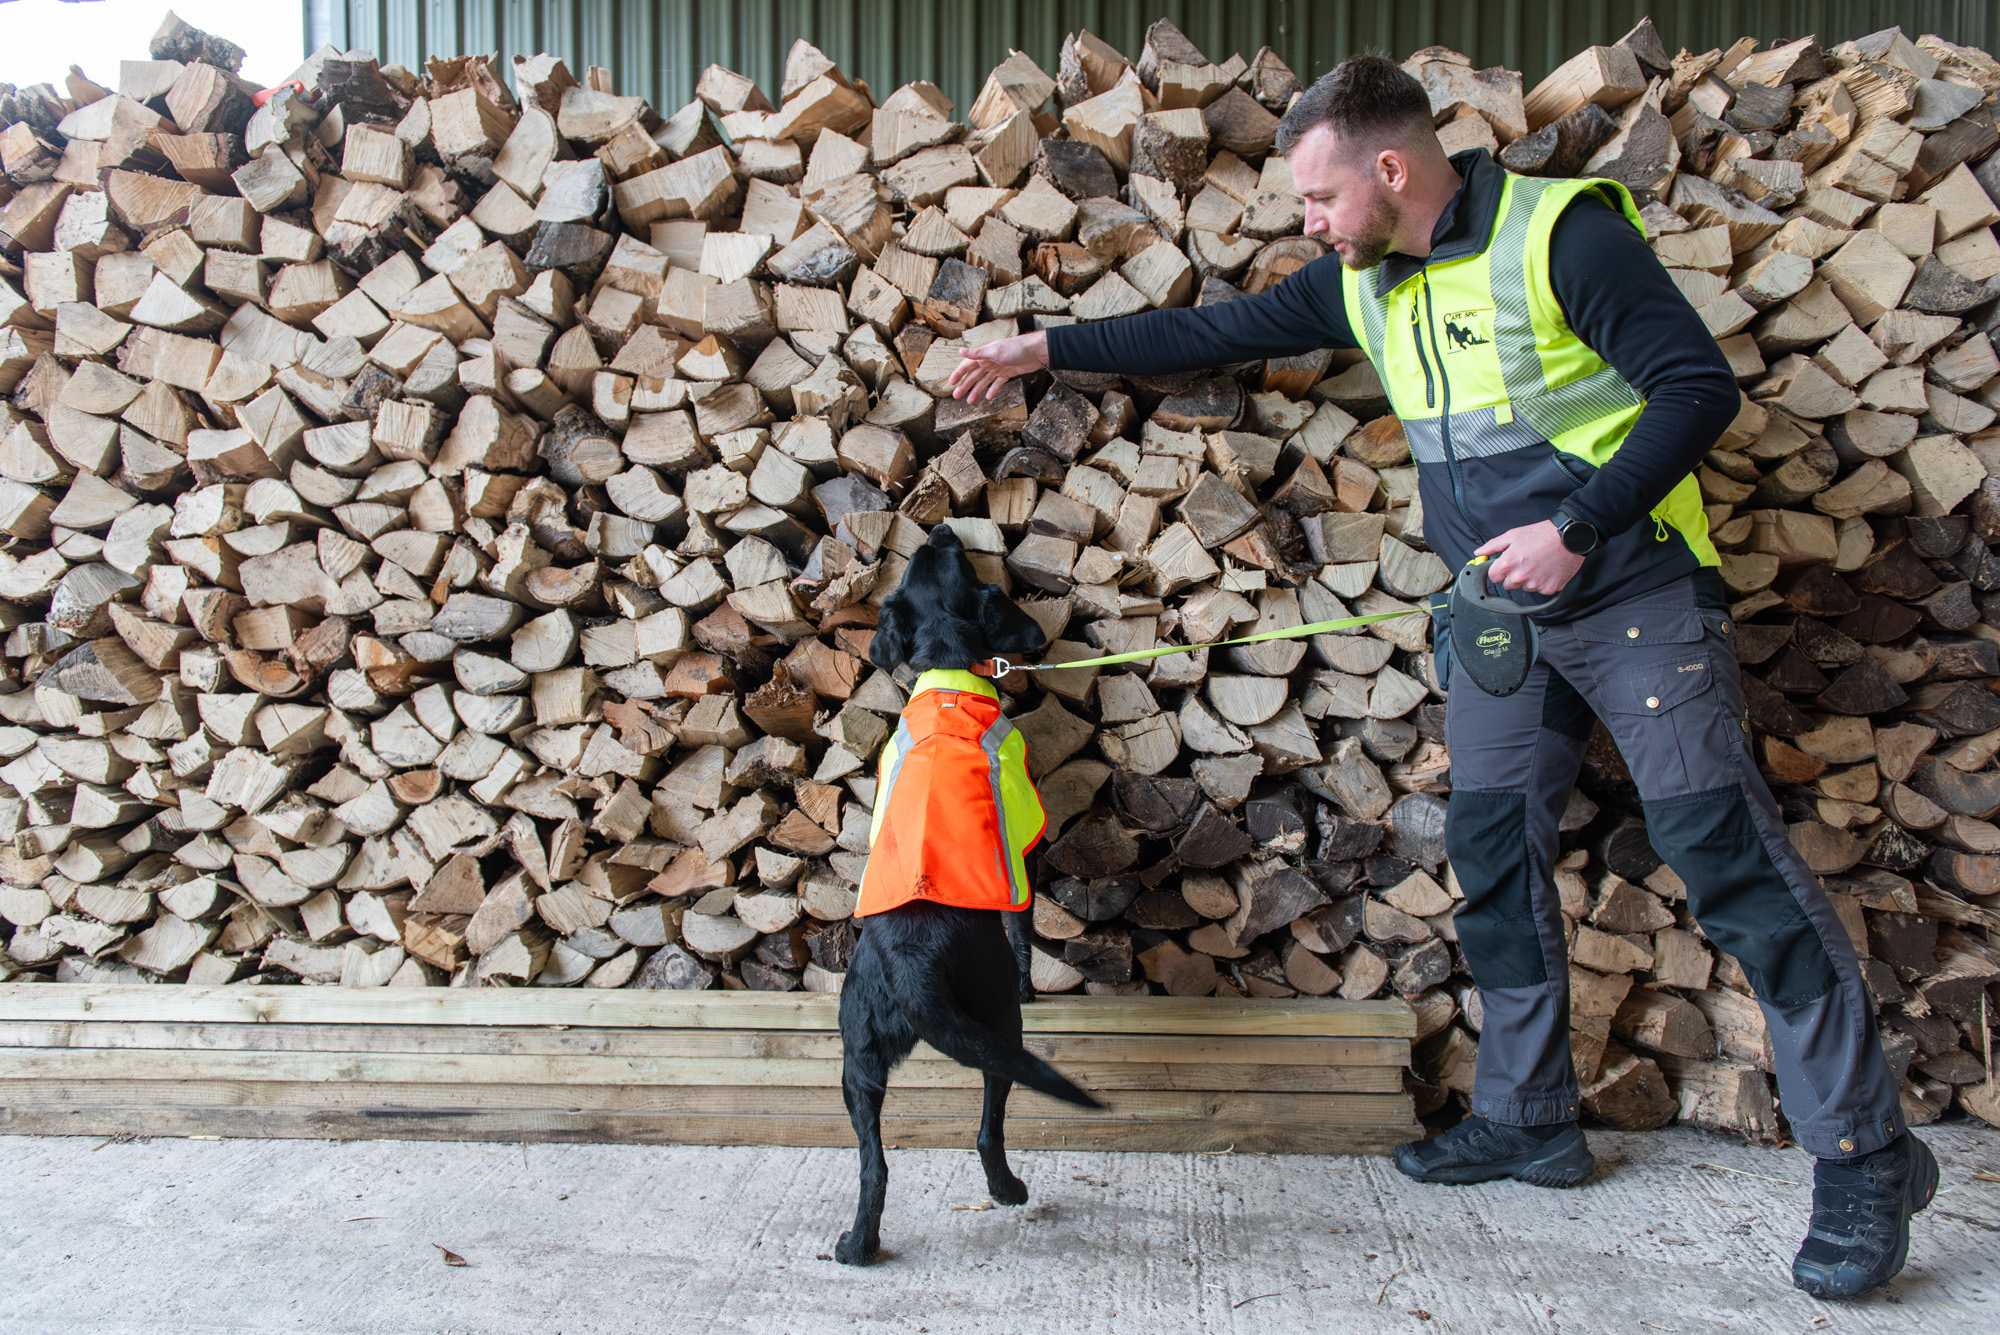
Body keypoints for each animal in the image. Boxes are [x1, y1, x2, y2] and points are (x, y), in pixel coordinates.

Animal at [832, 527, 1104, 1271]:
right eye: (962, 564)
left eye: (920, 566)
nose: (940, 530)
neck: (949, 671)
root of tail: (908, 962)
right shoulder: (1019, 849)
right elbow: (1023, 925)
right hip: (996, 1023)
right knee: (987, 1127)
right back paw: (1008, 1190)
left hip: (856, 1058)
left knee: (874, 1165)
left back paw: (857, 1244)